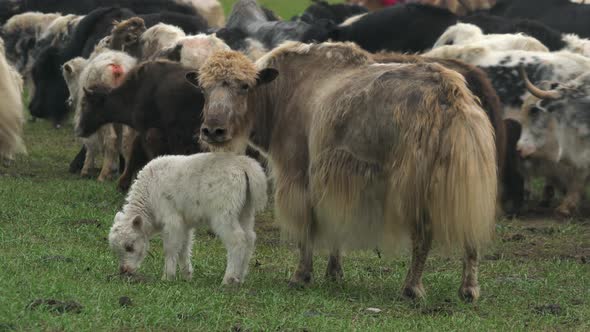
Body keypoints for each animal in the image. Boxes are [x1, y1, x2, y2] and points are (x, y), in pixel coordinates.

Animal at [108, 154, 268, 286]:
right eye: (116, 250)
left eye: (129, 247)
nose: (124, 270)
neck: (149, 193)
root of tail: (243, 164)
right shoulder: (185, 224)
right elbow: (184, 248)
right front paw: (187, 275)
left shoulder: (172, 220)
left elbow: (170, 248)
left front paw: (167, 277)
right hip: (245, 211)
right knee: (249, 238)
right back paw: (240, 277)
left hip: (224, 214)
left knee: (237, 239)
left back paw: (228, 280)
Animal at [191, 42, 500, 300]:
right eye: (204, 89)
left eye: (244, 86)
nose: (213, 131)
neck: (281, 93)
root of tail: (451, 95)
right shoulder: (336, 182)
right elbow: (334, 224)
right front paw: (334, 274)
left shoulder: (299, 173)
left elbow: (308, 226)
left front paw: (301, 276)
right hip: (467, 182)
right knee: (470, 234)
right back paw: (468, 290)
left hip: (415, 184)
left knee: (423, 234)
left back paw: (412, 288)